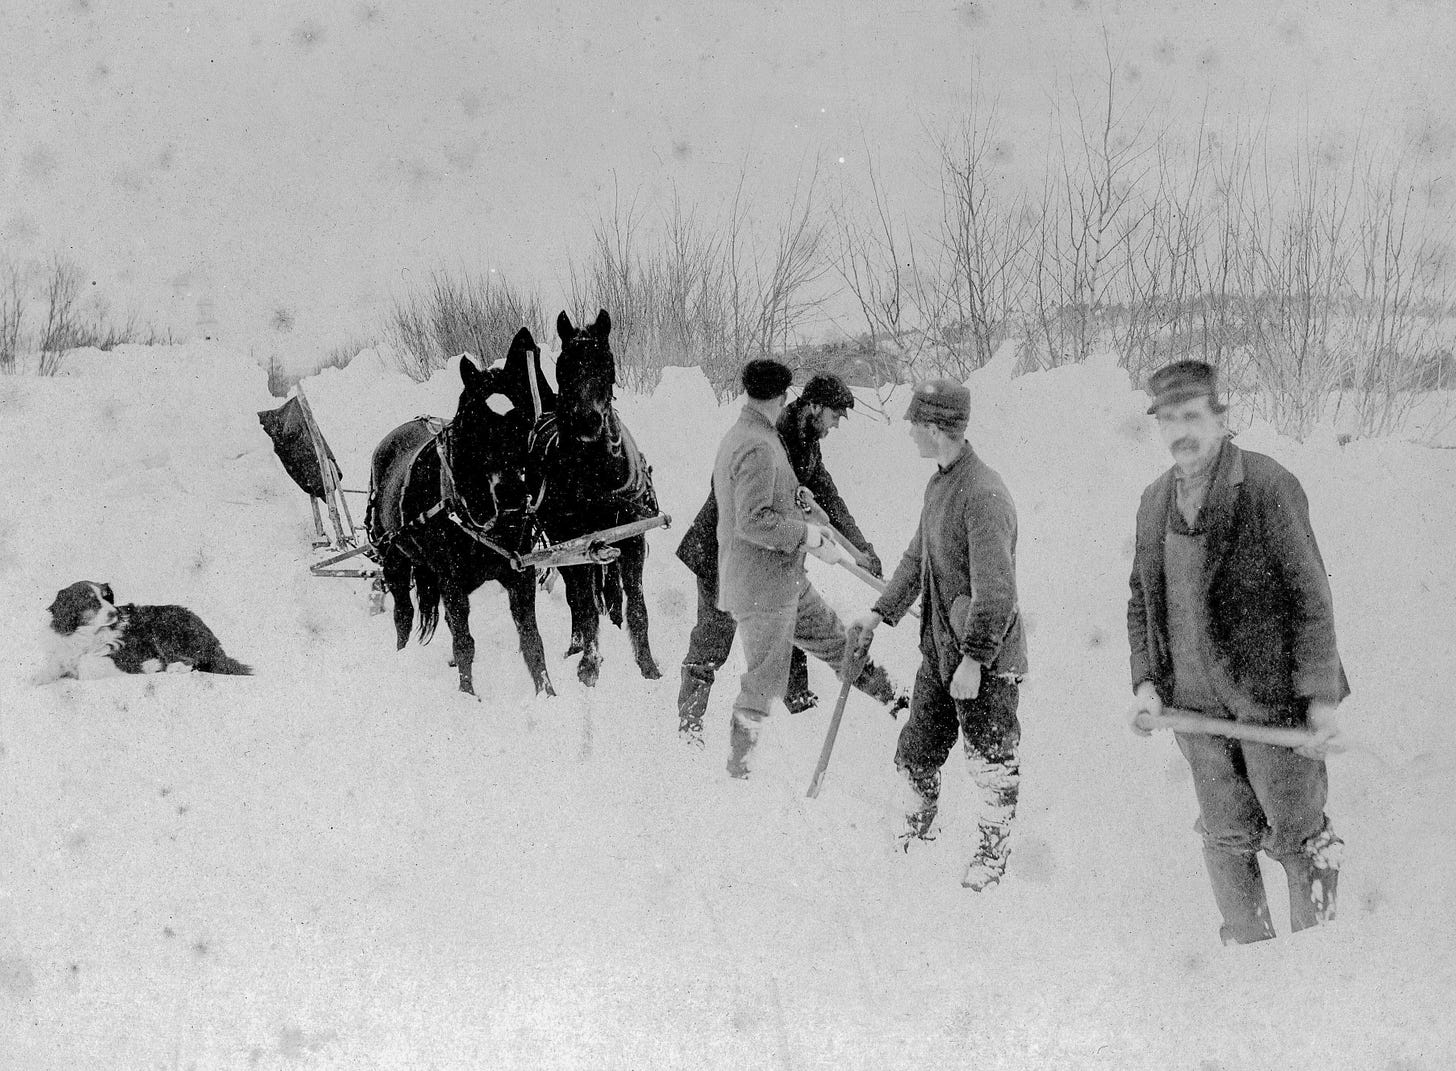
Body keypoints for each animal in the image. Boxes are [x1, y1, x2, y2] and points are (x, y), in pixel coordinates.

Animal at [36, 582, 253, 681]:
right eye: (90, 601)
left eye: (107, 597)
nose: (115, 612)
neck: (87, 635)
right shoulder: (61, 656)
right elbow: (47, 671)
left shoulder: (129, 648)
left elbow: (87, 665)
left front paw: (150, 666)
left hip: (165, 631)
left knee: (193, 660)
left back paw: (171, 667)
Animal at [366, 328, 553, 695]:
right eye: (476, 428)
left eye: (524, 420)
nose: (511, 496)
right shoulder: (451, 584)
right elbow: (464, 642)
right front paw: (468, 696)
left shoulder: (520, 574)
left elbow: (531, 639)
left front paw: (547, 694)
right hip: (395, 561)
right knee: (403, 614)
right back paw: (401, 657)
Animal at [529, 311, 666, 686]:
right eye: (563, 366)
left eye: (607, 363)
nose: (586, 420)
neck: (595, 479)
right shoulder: (576, 544)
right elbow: (585, 605)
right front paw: (589, 664)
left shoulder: (632, 540)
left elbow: (637, 605)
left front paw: (647, 664)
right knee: (578, 598)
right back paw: (576, 644)